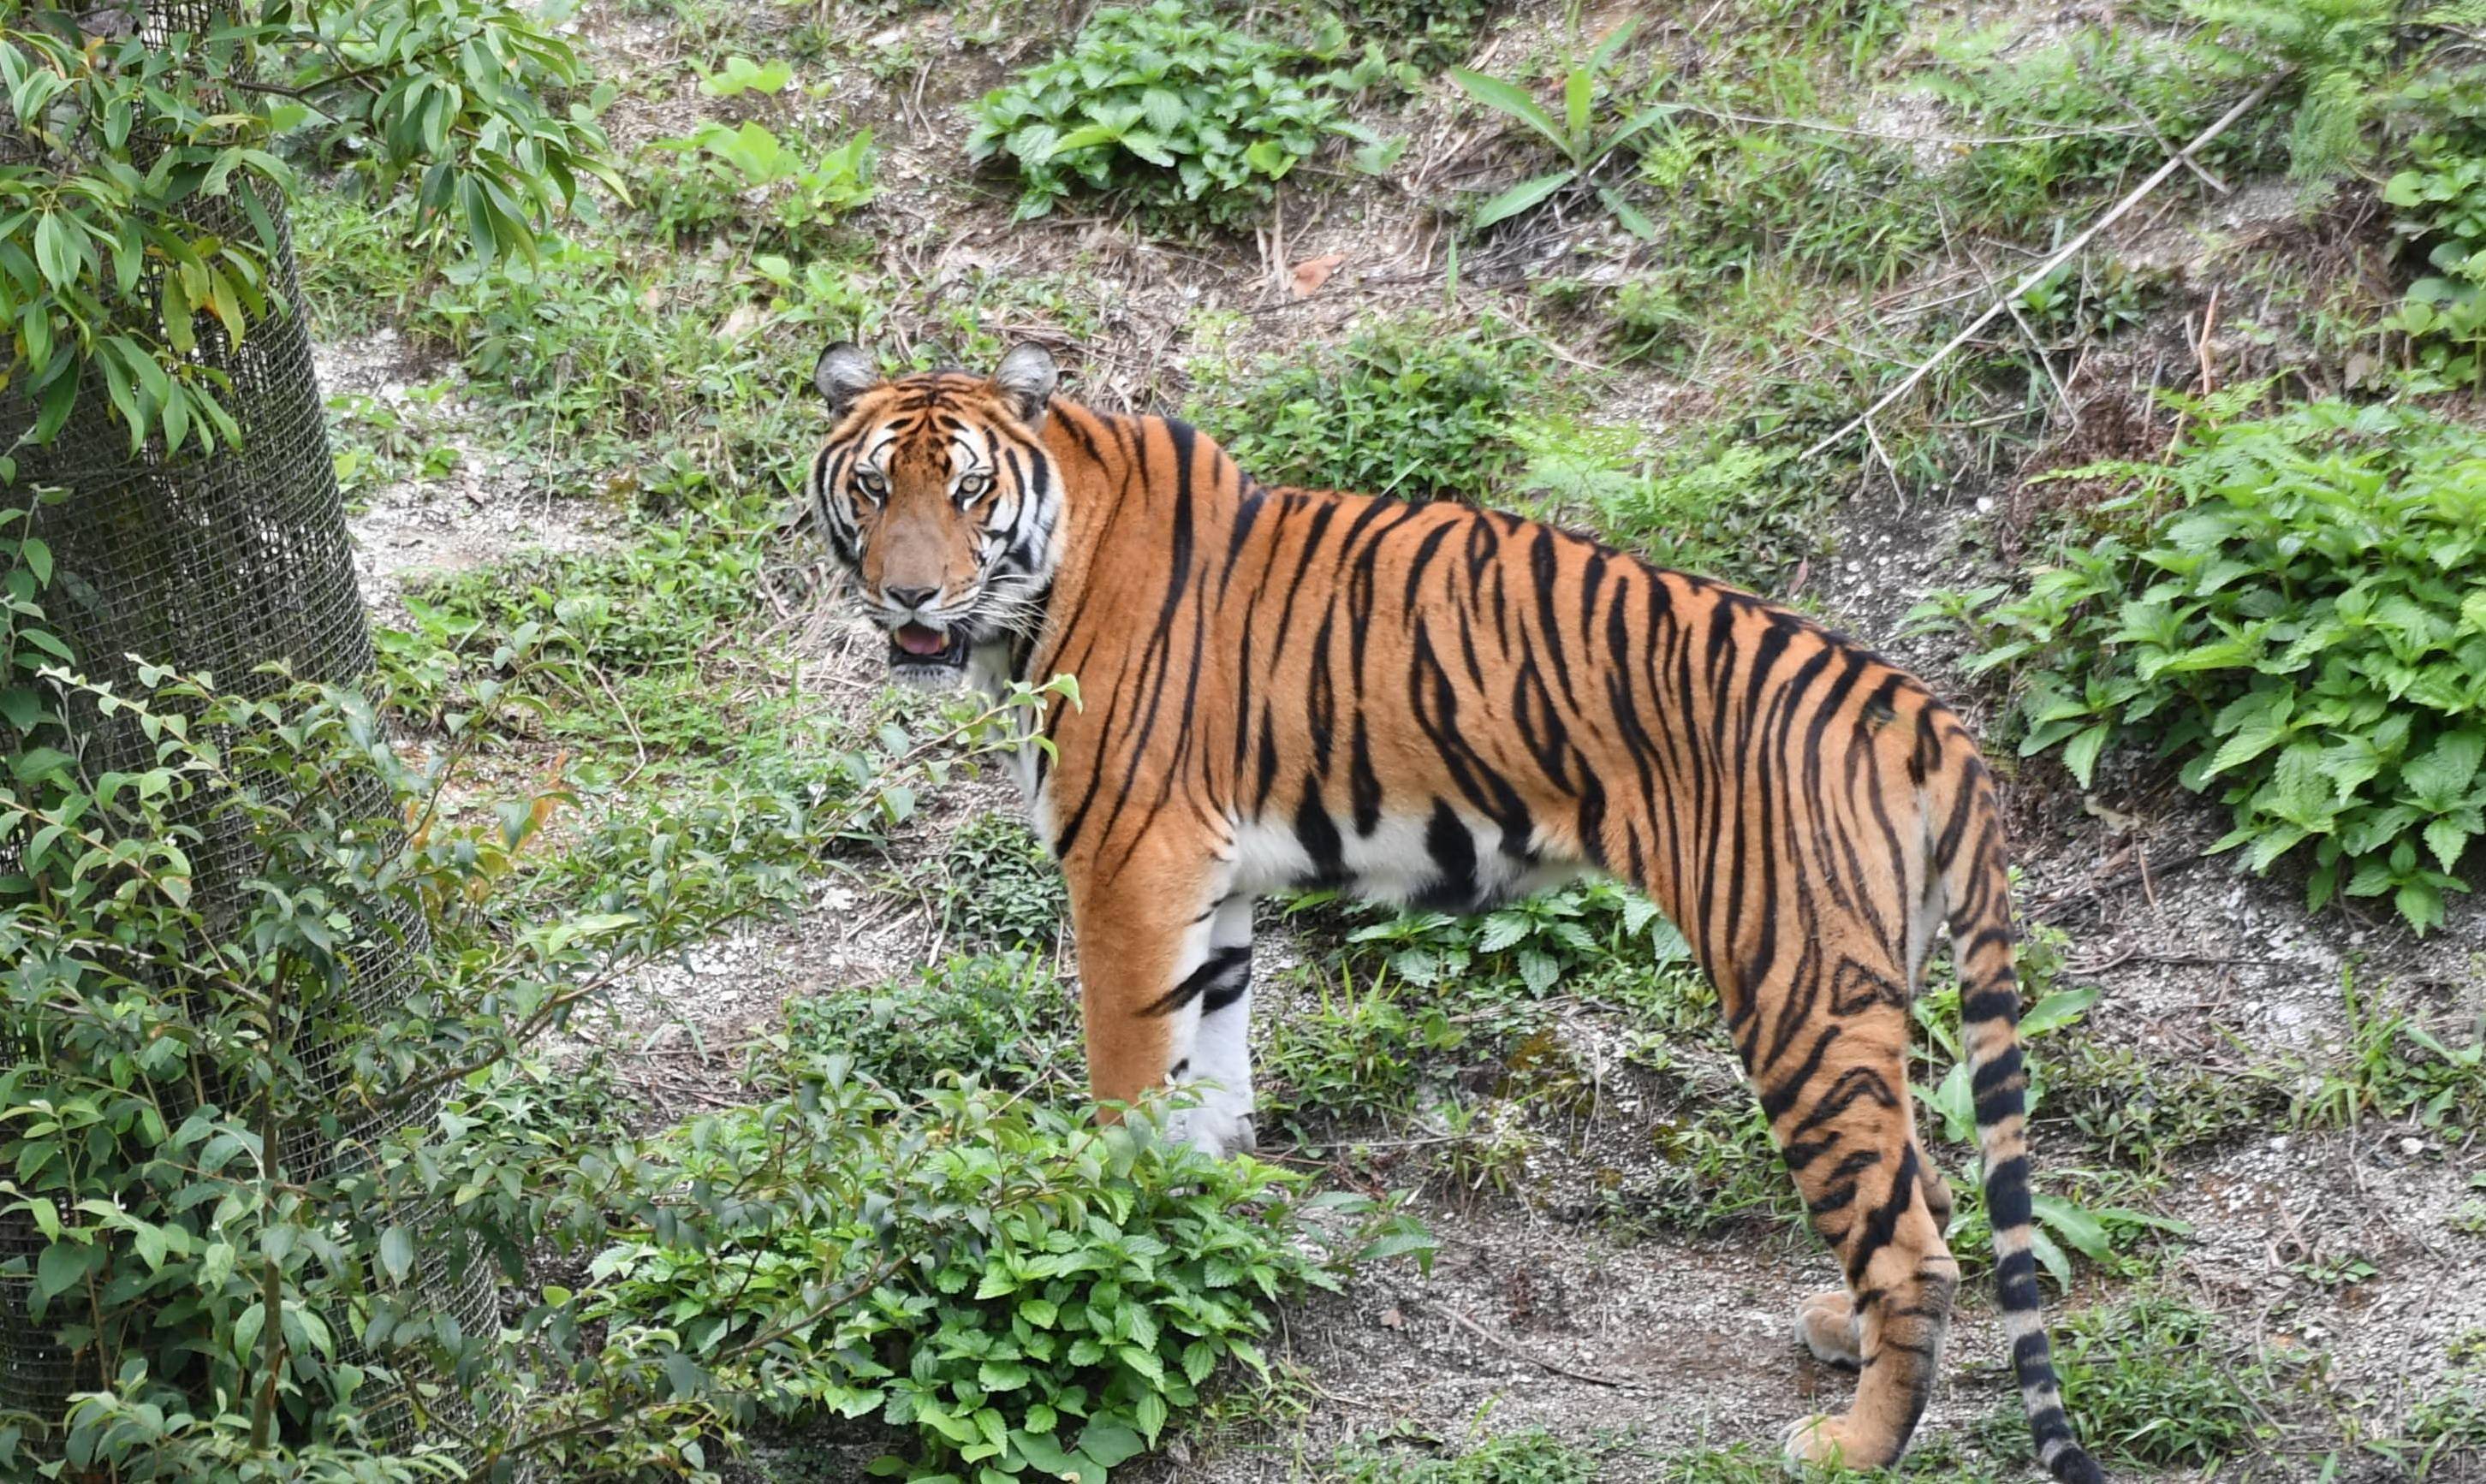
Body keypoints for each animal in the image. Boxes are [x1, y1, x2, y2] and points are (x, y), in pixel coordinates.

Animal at [805, 340, 2108, 1471]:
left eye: (969, 491)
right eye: (873, 488)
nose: (910, 596)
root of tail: (1916, 704)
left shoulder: (1133, 868)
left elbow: (1127, 1091)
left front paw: (1110, 1244)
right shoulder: (1207, 885)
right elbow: (1211, 1077)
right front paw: (1207, 1222)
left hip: (1797, 982)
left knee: (1912, 1240)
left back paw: (1854, 1445)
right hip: (1868, 983)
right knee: (1925, 1187)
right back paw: (1840, 1337)